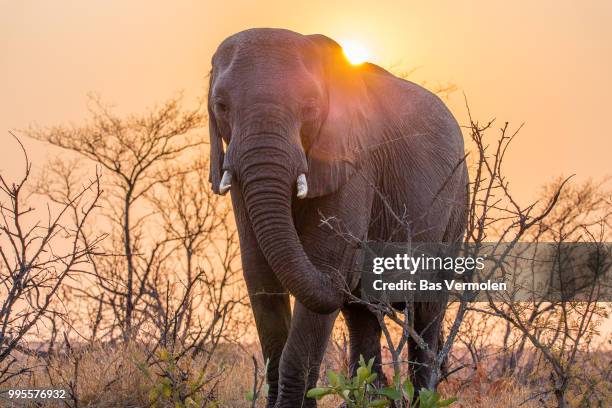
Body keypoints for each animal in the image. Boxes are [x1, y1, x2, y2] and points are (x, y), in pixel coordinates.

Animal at [207, 27, 468, 406]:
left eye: (310, 106)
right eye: (221, 106)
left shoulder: (354, 164)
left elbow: (325, 265)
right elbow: (260, 275)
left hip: (457, 203)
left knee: (427, 314)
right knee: (363, 319)